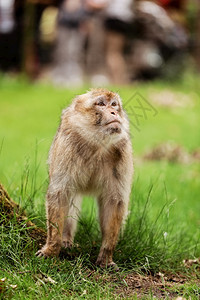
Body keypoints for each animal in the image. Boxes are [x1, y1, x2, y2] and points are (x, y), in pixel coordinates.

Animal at [36, 88, 133, 268]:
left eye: (114, 104)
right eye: (101, 104)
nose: (114, 112)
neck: (97, 144)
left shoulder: (122, 151)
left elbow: (114, 201)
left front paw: (106, 257)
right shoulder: (67, 146)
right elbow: (59, 194)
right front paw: (51, 249)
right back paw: (65, 239)